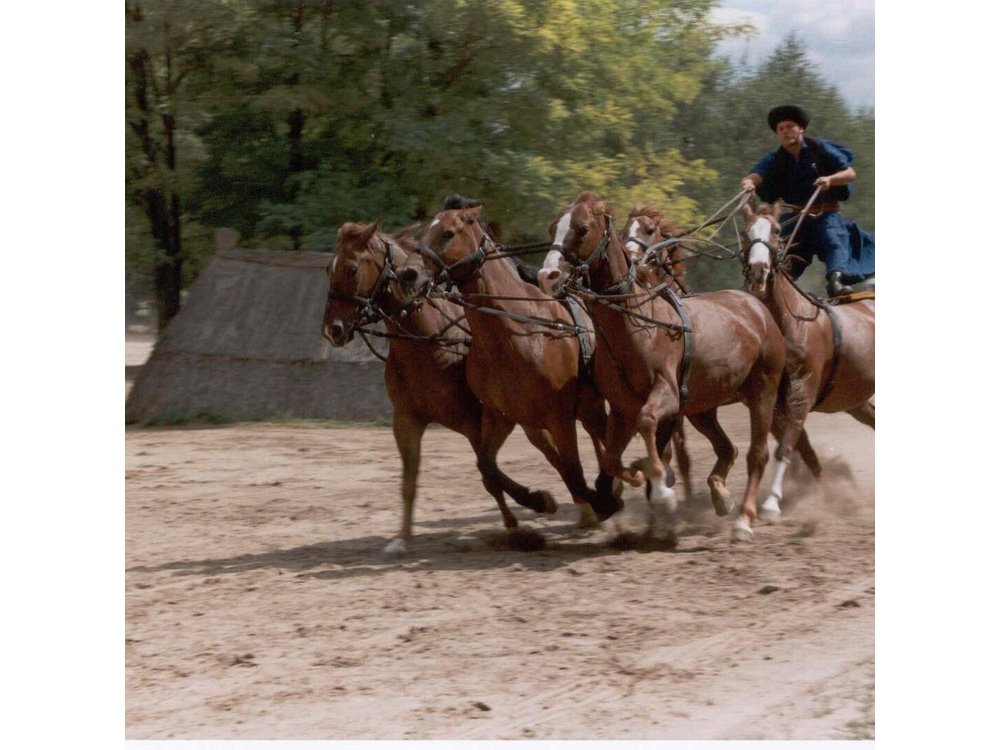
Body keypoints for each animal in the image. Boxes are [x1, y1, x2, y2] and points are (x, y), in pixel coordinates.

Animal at [322, 220, 558, 556]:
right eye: (329, 268)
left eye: (352, 269)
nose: (333, 330)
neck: (428, 342)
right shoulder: (406, 422)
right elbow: (410, 481)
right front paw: (402, 538)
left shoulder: (476, 422)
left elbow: (489, 475)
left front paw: (525, 516)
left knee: (551, 449)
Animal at [398, 205, 623, 527]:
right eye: (425, 230)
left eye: (448, 233)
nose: (408, 273)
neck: (516, 333)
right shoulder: (500, 416)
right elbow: (487, 465)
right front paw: (538, 500)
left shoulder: (560, 418)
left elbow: (575, 473)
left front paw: (600, 501)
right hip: (582, 409)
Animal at [545, 192, 788, 541]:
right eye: (554, 228)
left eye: (582, 228)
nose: (547, 275)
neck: (638, 323)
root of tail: (756, 307)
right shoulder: (621, 409)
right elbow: (613, 459)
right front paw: (636, 474)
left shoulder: (667, 397)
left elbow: (648, 425)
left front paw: (662, 490)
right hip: (702, 407)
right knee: (727, 448)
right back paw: (721, 496)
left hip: (763, 391)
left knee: (758, 453)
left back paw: (744, 519)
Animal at [742, 204, 875, 522]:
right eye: (745, 231)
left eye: (777, 230)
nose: (758, 271)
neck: (790, 323)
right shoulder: (773, 402)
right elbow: (802, 449)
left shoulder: (802, 394)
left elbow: (786, 448)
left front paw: (771, 504)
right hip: (856, 401)